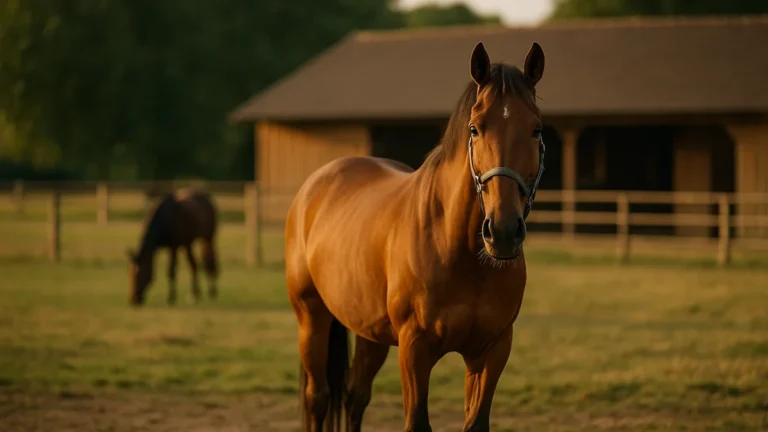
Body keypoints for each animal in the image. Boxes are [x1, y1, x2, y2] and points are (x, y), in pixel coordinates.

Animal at [285, 40, 546, 432]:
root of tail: (314, 185)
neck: (458, 250)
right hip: (311, 319)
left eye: (536, 130)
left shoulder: (492, 349)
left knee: (354, 396)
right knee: (318, 398)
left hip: (369, 331)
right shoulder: (415, 348)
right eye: (475, 129)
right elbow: (417, 421)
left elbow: (476, 422)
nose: (502, 232)